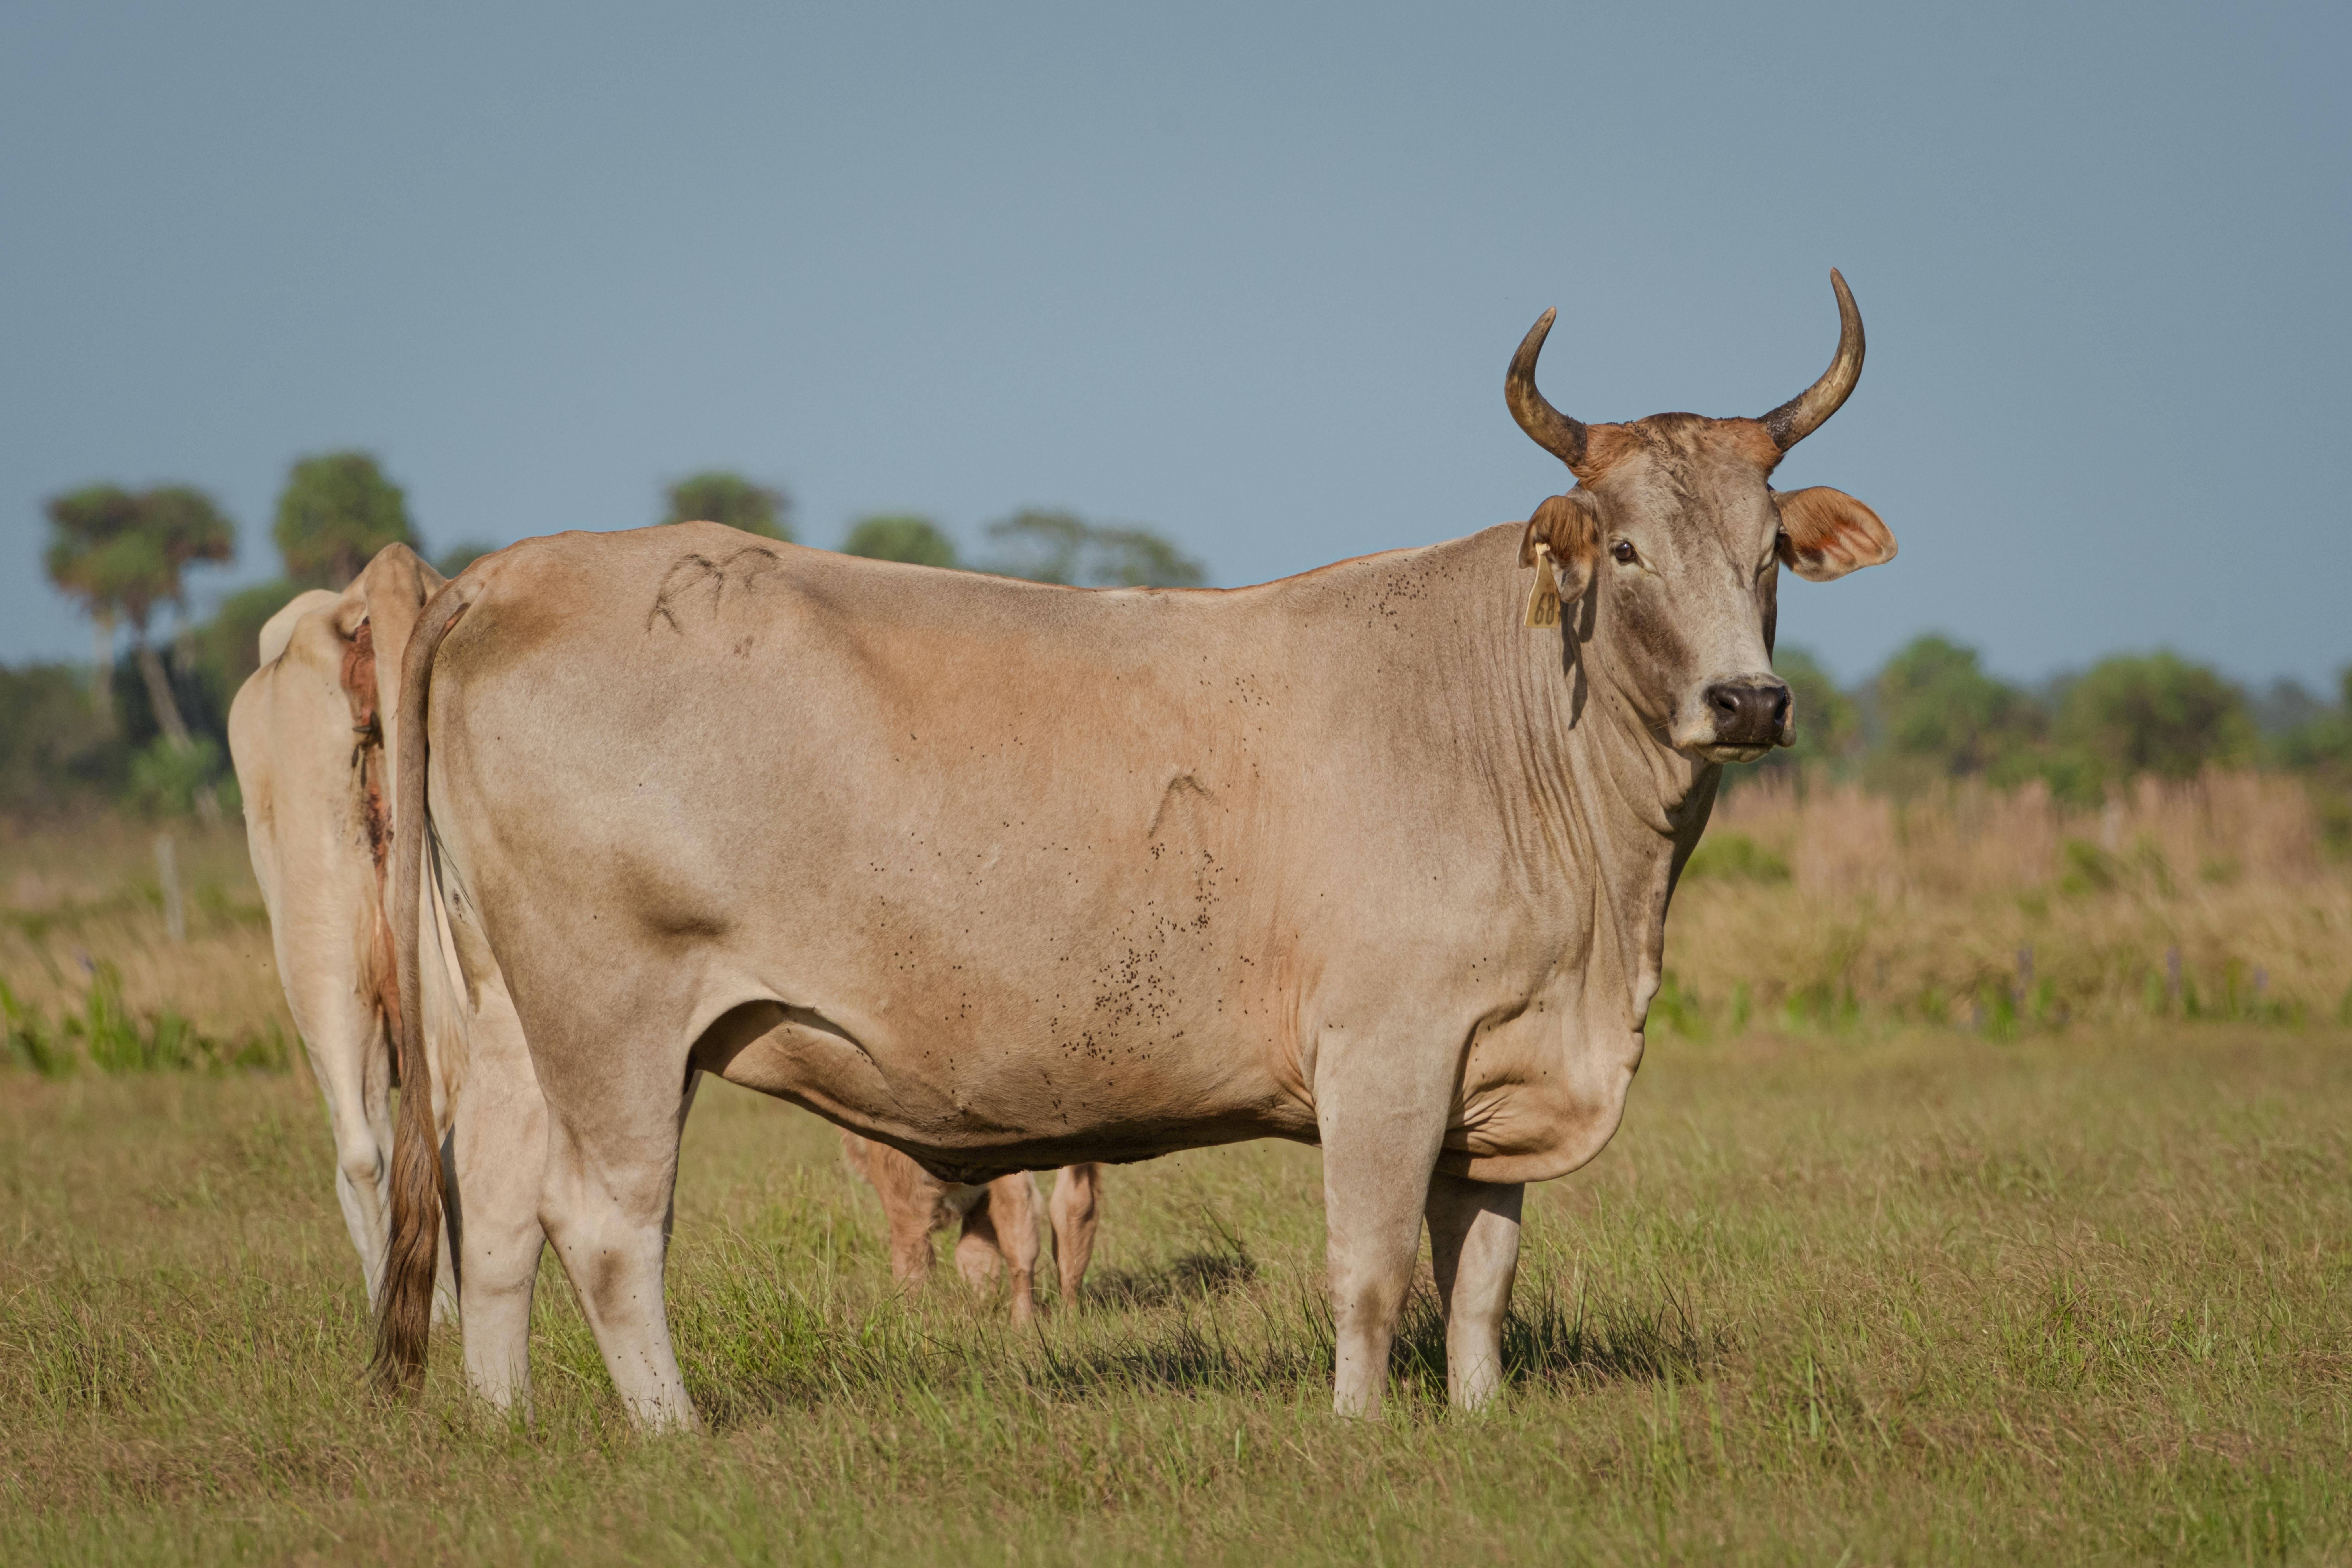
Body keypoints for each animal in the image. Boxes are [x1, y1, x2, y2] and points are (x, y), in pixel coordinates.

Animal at [840, 1132, 1103, 1323]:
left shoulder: (899, 1185)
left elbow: (913, 1258)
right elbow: (977, 1255)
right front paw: (981, 1307)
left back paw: (1022, 1323)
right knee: (1074, 1207)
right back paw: (1069, 1319)